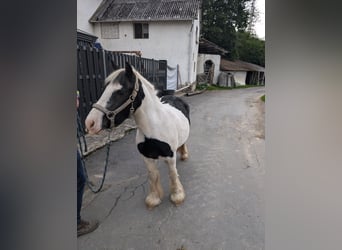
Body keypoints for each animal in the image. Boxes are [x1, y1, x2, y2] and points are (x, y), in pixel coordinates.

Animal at [85, 62, 190, 209]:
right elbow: (153, 176)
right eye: (104, 89)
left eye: (120, 91)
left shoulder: (170, 156)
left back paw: (184, 155)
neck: (154, 129)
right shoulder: (147, 157)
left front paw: (177, 196)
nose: (90, 123)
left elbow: (172, 174)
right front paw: (154, 199)